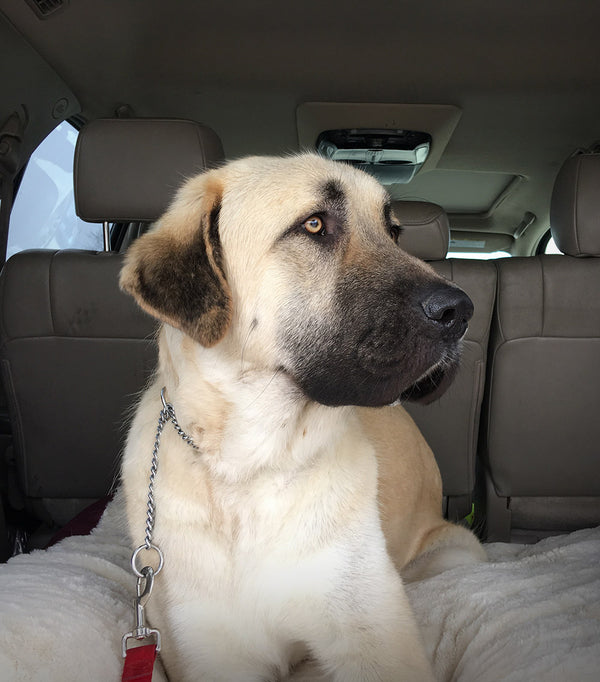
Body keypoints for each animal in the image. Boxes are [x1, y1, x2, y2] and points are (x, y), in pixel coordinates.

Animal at [119, 154, 486, 680]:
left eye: (393, 231)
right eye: (314, 224)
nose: (461, 310)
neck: (252, 467)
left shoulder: (375, 635)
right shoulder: (212, 651)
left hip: (454, 552)